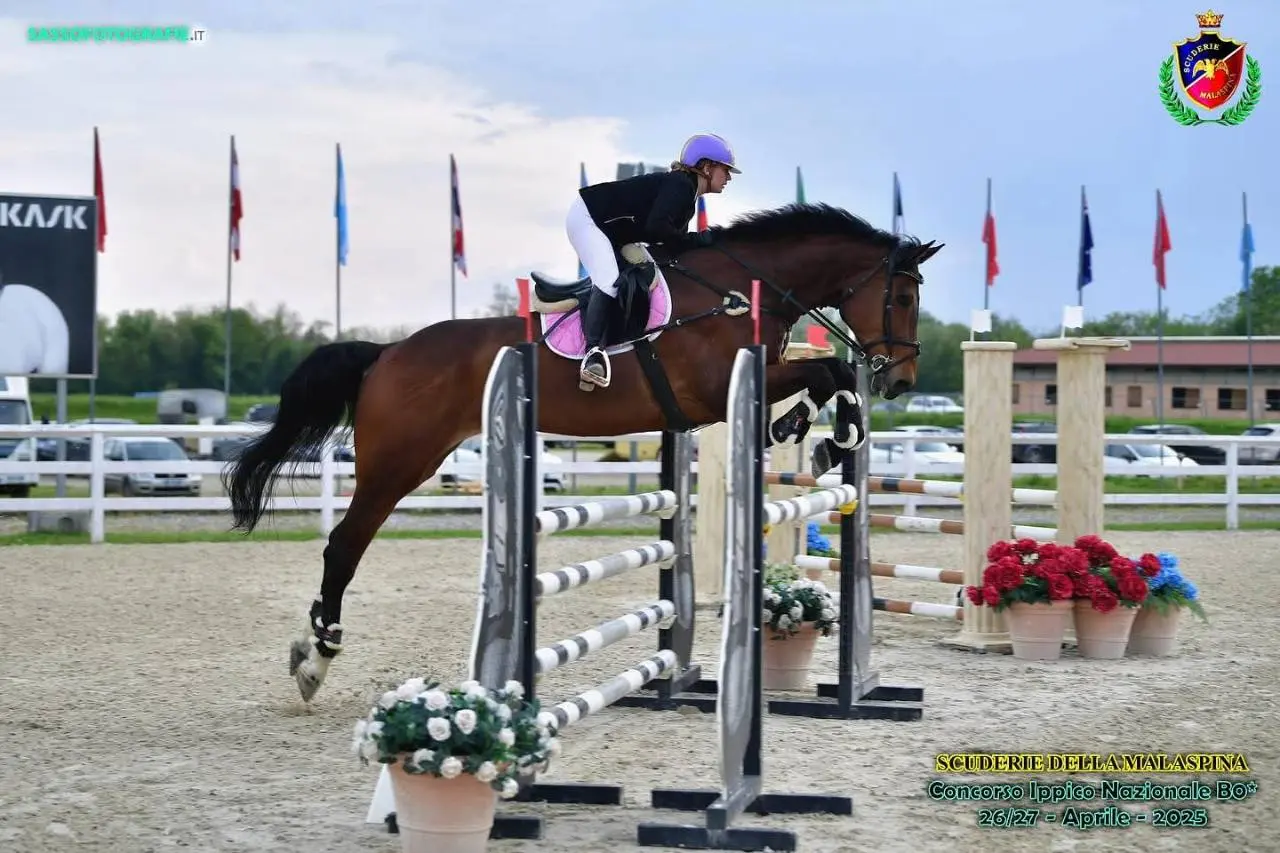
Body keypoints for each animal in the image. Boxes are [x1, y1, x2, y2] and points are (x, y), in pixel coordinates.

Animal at [222, 202, 942, 702]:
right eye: (903, 296)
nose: (902, 380)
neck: (737, 290)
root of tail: (387, 353)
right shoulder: (719, 389)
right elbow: (826, 371)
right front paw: (817, 432)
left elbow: (830, 377)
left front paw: (823, 436)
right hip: (401, 461)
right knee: (343, 545)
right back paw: (316, 657)